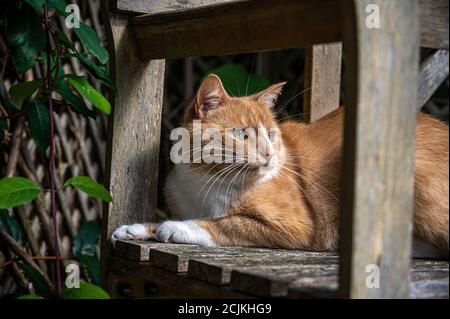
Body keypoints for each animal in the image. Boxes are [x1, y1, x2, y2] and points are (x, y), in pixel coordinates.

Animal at [110, 74, 448, 255]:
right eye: (242, 134)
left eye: (271, 134)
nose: (270, 154)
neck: (205, 180)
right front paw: (136, 228)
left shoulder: (300, 226)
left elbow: (227, 223)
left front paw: (176, 227)